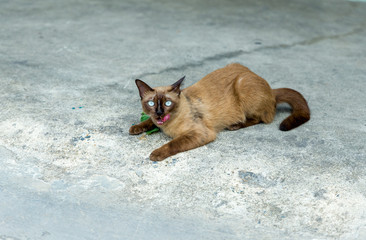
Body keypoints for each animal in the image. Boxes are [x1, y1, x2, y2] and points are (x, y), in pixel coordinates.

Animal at [130, 63, 310, 161]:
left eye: (168, 103)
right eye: (151, 103)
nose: (159, 113)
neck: (166, 125)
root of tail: (271, 90)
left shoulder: (199, 133)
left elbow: (173, 143)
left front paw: (156, 154)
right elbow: (148, 122)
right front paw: (135, 128)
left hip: (242, 86)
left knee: (262, 118)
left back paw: (234, 125)